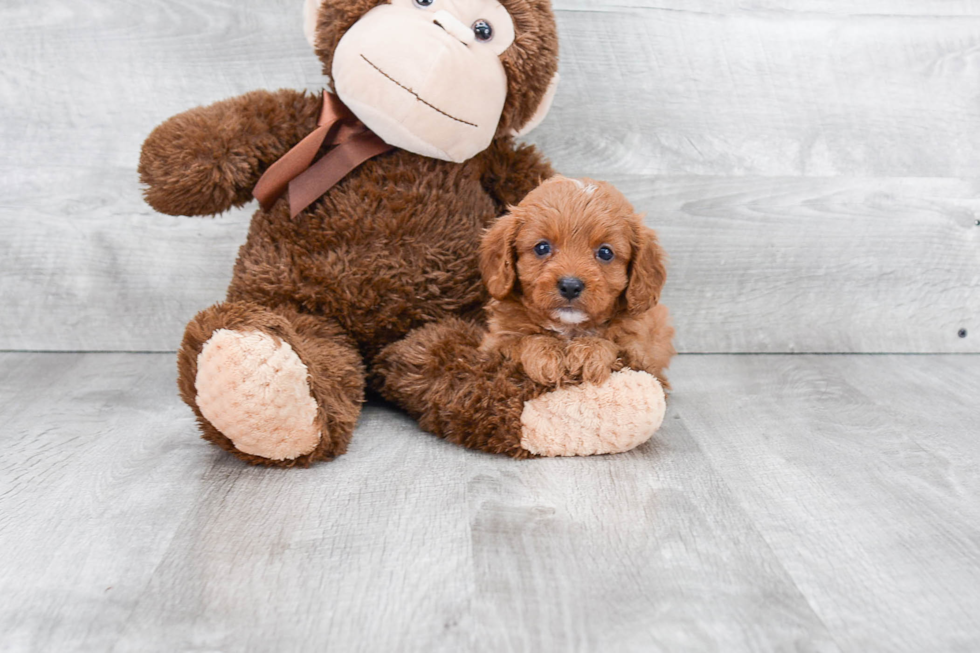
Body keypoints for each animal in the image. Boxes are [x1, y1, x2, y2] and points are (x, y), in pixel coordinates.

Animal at [478, 176, 676, 390]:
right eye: (542, 247)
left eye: (605, 252)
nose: (571, 286)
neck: (569, 329)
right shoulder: (494, 345)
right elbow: (520, 341)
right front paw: (546, 354)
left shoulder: (639, 353)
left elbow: (614, 345)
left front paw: (588, 352)